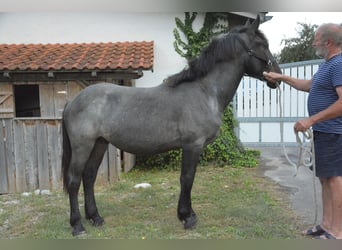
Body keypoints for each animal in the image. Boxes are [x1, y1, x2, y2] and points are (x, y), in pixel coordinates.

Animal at [61, 14, 280, 235]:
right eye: (262, 45)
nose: (277, 76)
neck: (204, 91)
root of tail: (72, 101)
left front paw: (187, 214)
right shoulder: (192, 145)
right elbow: (187, 178)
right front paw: (187, 217)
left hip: (99, 143)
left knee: (89, 177)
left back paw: (95, 217)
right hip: (83, 146)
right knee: (74, 181)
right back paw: (77, 225)